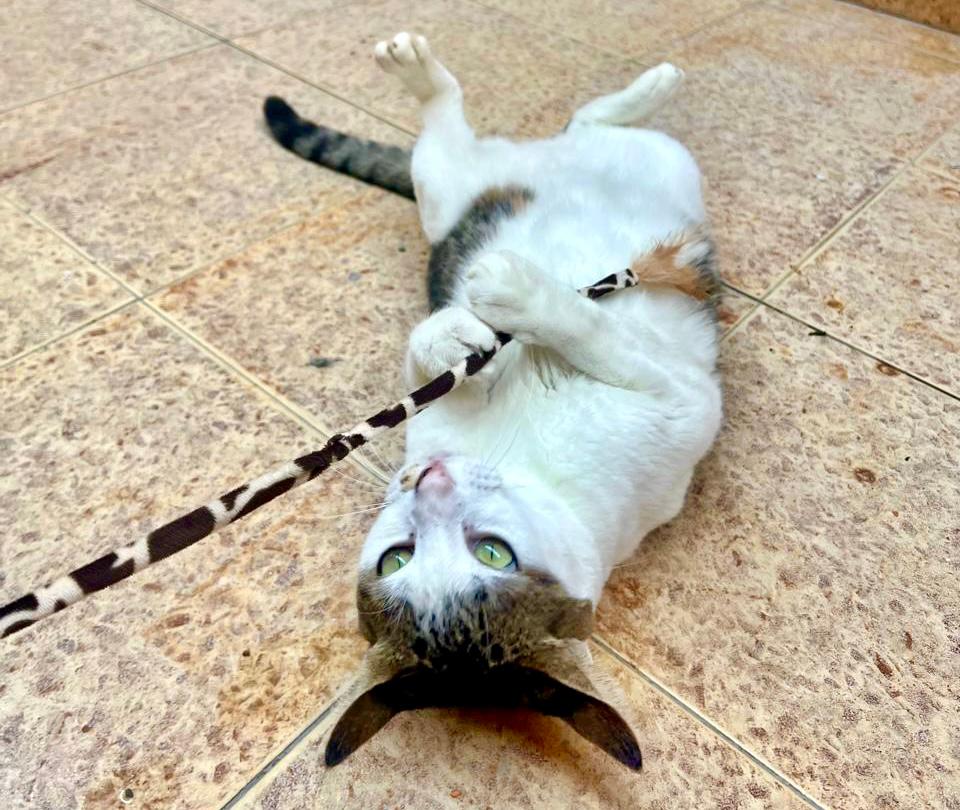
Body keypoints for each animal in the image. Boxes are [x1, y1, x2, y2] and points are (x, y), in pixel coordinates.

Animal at [264, 32, 722, 771]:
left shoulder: (685, 401)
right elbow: (454, 354)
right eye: (397, 560)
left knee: (574, 126)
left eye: (494, 554)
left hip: (629, 173)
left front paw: (508, 309)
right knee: (522, 130)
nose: (427, 481)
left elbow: (588, 330)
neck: (529, 462)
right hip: (452, 190)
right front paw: (467, 326)